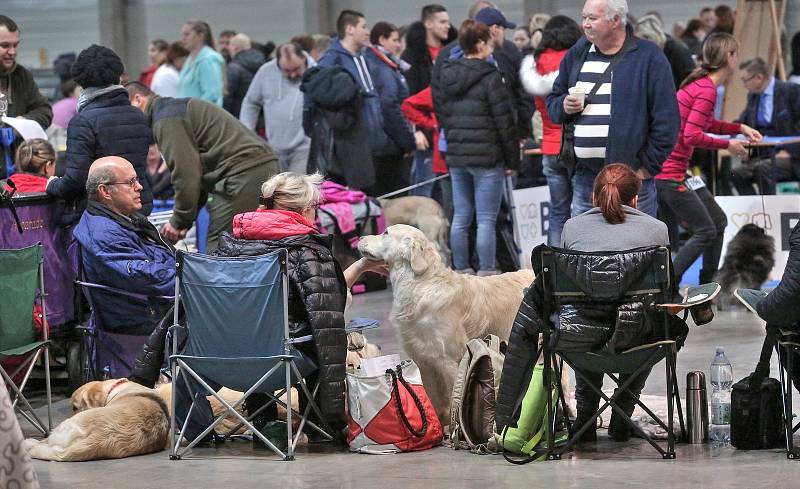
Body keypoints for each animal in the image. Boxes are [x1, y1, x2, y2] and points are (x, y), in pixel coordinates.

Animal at [360, 225, 536, 424]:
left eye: (386, 233)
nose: (360, 238)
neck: (420, 283)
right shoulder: (424, 361)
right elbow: (434, 400)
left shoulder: (450, 360)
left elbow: (453, 398)